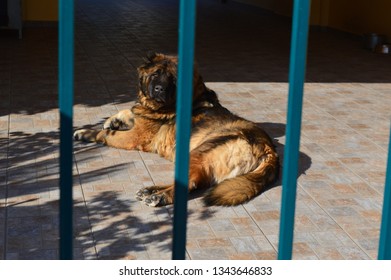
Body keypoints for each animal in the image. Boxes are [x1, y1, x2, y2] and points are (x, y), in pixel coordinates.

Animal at [73, 54, 280, 208]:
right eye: (155, 74)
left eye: (173, 79)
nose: (159, 89)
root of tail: (268, 150)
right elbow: (127, 111)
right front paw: (112, 120)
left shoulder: (134, 136)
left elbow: (106, 134)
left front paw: (86, 132)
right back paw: (151, 190)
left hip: (198, 152)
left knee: (189, 183)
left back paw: (159, 197)